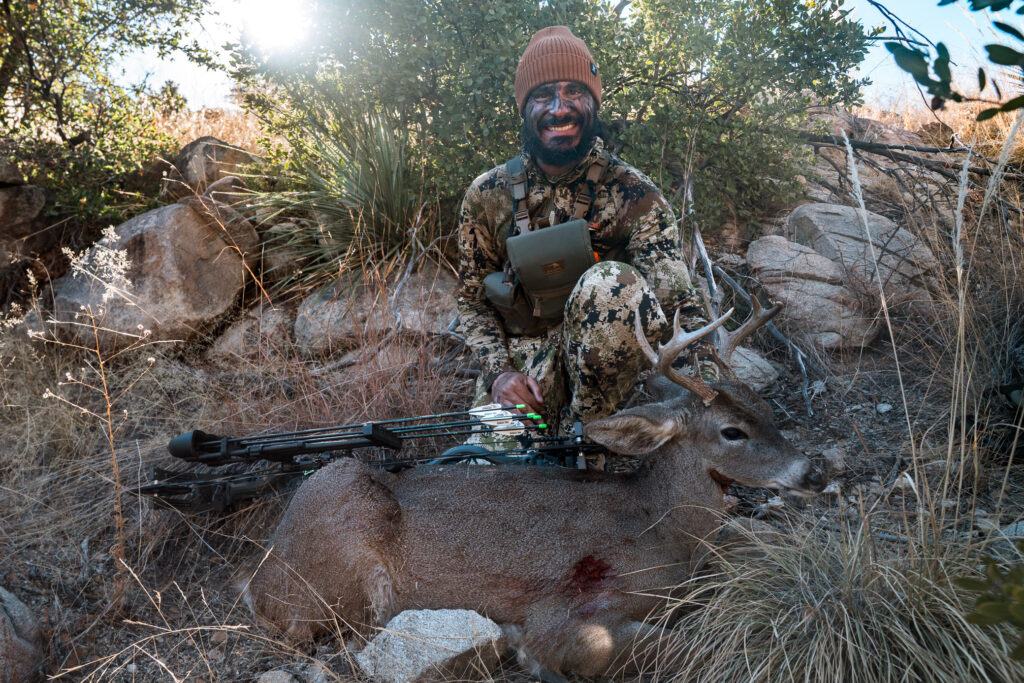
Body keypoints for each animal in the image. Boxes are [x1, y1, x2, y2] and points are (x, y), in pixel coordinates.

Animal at [241, 301, 826, 679]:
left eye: (769, 411)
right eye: (733, 431)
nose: (813, 474)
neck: (664, 528)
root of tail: (260, 575)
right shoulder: (568, 610)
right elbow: (674, 648)